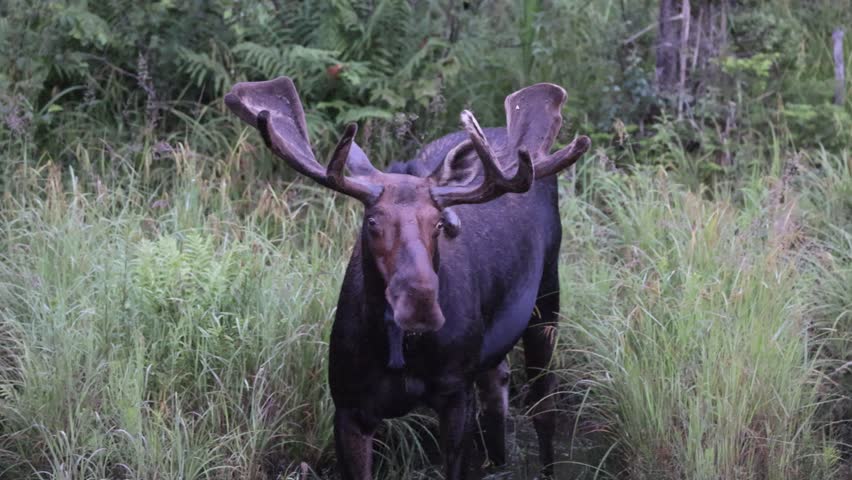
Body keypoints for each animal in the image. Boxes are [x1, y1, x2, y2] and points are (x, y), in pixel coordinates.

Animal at [225, 77, 590, 479]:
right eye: (372, 222)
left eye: (439, 224)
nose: (420, 304)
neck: (400, 353)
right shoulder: (348, 406)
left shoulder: (454, 393)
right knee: (498, 386)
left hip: (547, 298)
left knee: (544, 404)